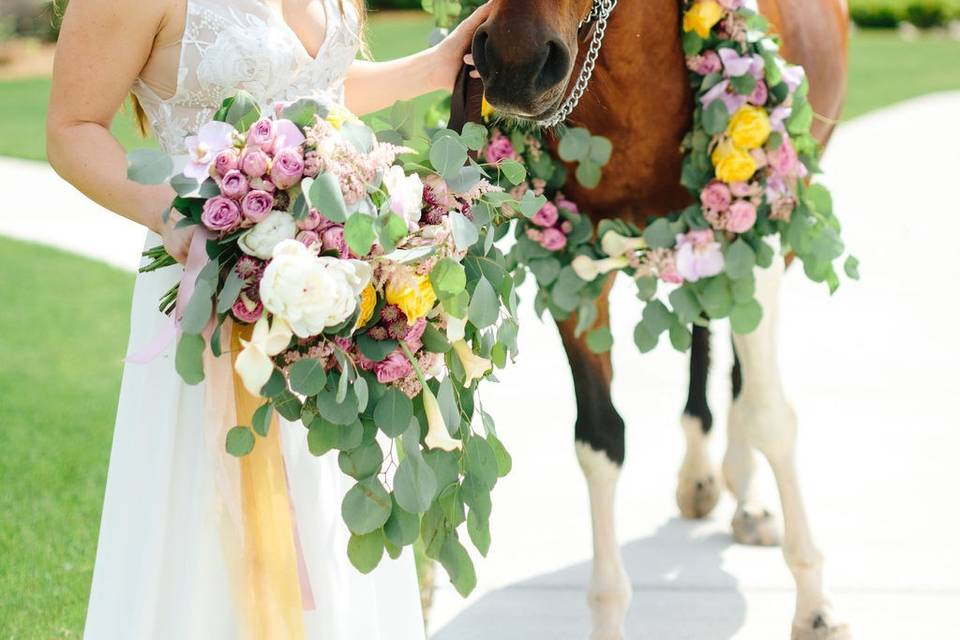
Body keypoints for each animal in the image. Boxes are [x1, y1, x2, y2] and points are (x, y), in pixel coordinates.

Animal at [464, 1, 848, 640]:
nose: (516, 62)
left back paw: (745, 494)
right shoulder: (568, 263)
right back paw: (701, 474)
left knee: (744, 372)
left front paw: (815, 602)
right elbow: (599, 438)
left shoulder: (761, 234)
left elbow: (771, 416)